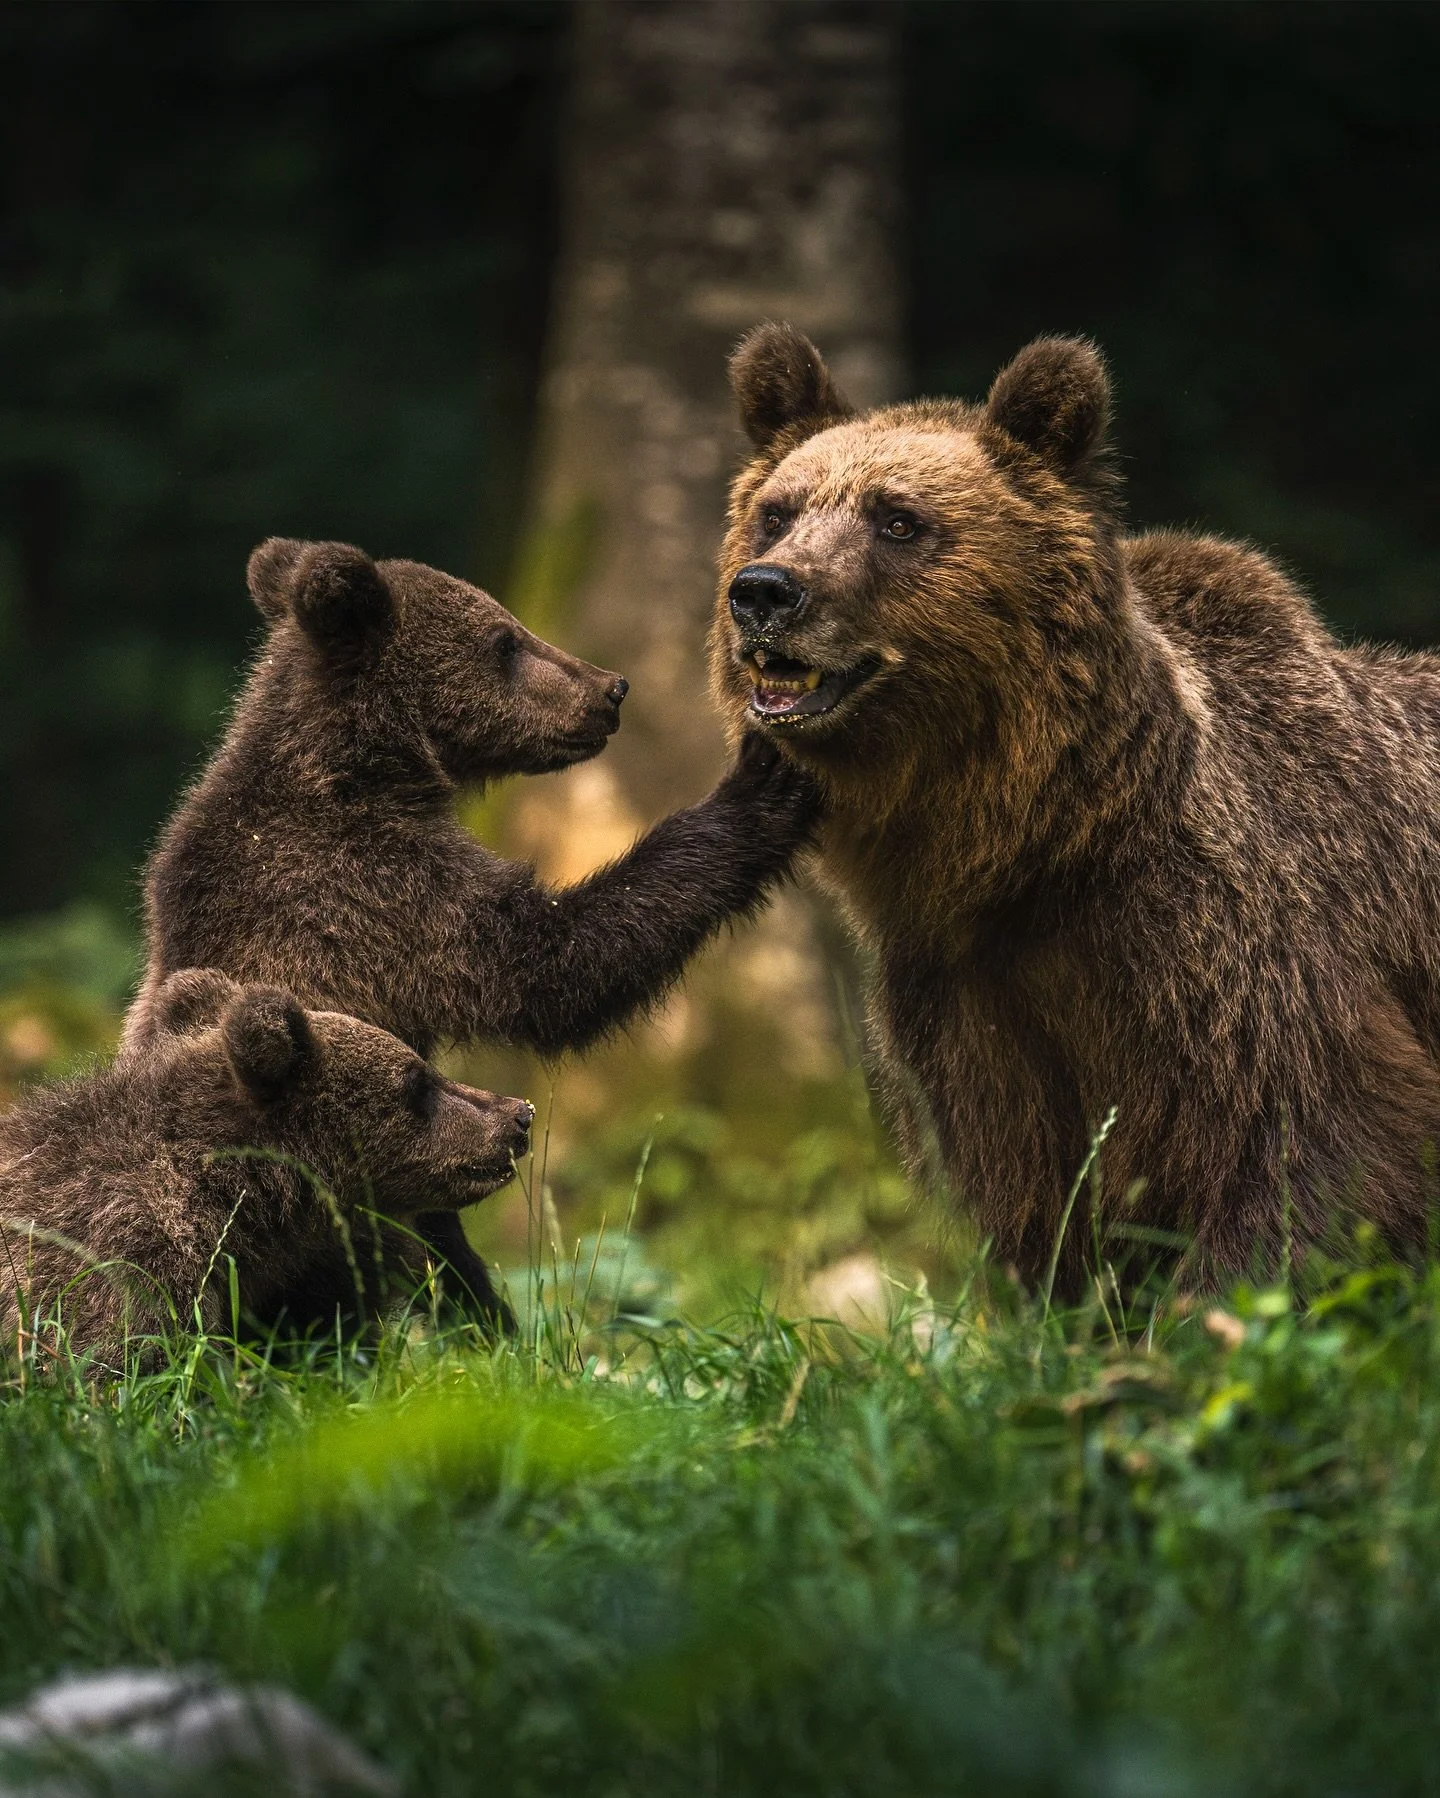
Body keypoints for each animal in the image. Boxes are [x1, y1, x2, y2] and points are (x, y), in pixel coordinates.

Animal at [122, 539, 820, 1324]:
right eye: (504, 641)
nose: (611, 687)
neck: (367, 773)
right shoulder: (377, 891)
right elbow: (550, 964)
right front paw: (763, 782)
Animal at [709, 321, 1440, 1289]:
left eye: (898, 520)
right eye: (779, 511)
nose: (766, 591)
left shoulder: (1234, 954)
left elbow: (1310, 1147)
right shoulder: (971, 1003)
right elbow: (1037, 1203)